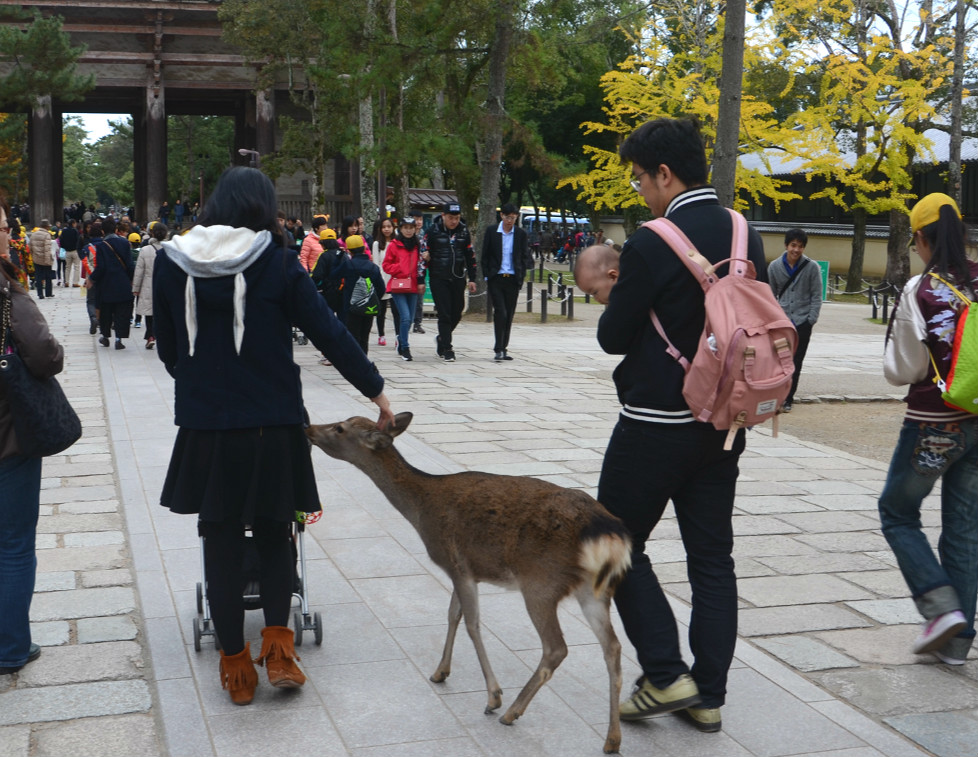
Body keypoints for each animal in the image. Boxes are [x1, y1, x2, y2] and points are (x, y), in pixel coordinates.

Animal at [304, 410, 632, 752]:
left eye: (340, 428)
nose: (308, 428)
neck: (422, 510)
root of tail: (610, 534)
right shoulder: (462, 570)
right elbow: (453, 615)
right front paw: (440, 672)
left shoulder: (457, 564)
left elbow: (472, 623)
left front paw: (493, 696)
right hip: (595, 591)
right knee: (612, 647)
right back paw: (612, 739)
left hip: (541, 583)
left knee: (556, 648)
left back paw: (512, 711)